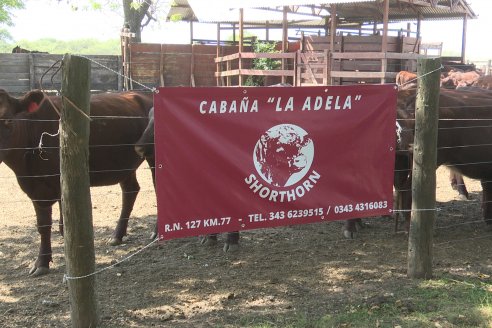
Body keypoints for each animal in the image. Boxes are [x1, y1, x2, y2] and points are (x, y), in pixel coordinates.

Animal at [0, 88, 153, 276]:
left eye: (8, 119)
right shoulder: (35, 188)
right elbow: (44, 225)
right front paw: (41, 262)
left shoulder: (59, 185)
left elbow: (62, 227)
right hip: (124, 165)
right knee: (130, 190)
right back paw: (117, 235)